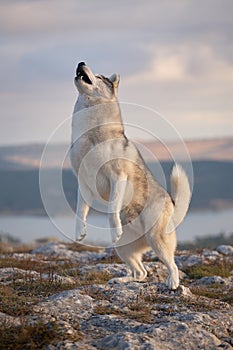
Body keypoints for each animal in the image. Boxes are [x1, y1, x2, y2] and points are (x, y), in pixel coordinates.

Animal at [70, 62, 190, 290]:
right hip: (123, 249)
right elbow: (80, 211)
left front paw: (114, 229)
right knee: (141, 271)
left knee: (172, 264)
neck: (91, 133)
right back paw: (121, 279)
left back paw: (172, 282)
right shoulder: (84, 183)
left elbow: (111, 209)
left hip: (157, 239)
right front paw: (79, 232)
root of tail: (171, 202)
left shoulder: (117, 176)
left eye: (99, 76)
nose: (80, 62)